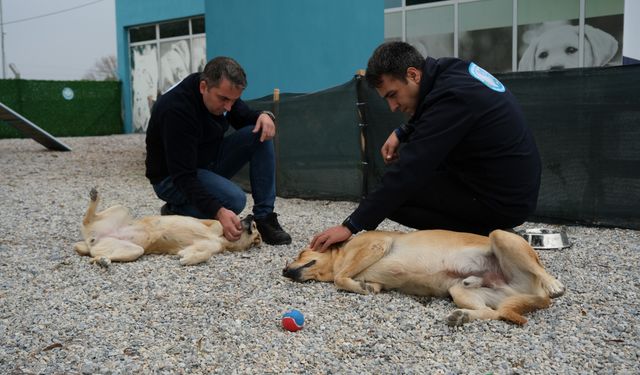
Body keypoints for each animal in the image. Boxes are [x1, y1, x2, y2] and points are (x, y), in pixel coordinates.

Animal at [75, 189, 262, 266]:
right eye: (254, 225)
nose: (251, 215)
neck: (221, 239)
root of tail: (91, 240)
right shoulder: (210, 223)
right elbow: (217, 223)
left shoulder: (206, 247)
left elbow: (204, 253)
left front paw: (188, 258)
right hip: (122, 208)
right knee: (86, 218)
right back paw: (94, 199)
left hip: (132, 250)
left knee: (96, 256)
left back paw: (102, 260)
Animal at [282, 231, 564, 324]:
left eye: (300, 252)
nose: (284, 271)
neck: (342, 253)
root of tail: (537, 296)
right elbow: (354, 280)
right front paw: (365, 286)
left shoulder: (376, 245)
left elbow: (340, 277)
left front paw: (358, 286)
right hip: (459, 292)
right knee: (492, 313)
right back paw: (463, 315)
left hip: (501, 236)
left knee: (540, 269)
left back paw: (554, 284)